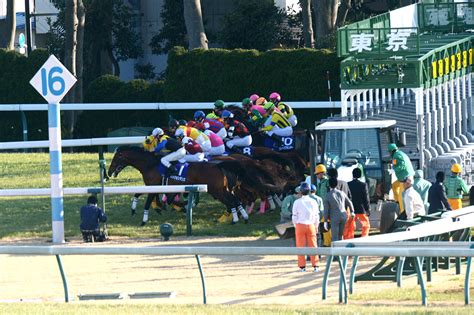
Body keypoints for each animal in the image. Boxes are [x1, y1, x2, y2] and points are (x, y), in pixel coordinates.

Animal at [107, 147, 248, 226]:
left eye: (115, 158)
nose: (108, 172)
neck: (150, 164)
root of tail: (218, 165)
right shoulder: (152, 186)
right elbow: (137, 194)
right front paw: (134, 209)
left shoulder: (154, 187)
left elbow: (147, 203)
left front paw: (144, 221)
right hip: (223, 189)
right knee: (236, 201)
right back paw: (242, 218)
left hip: (216, 190)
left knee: (231, 202)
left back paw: (236, 219)